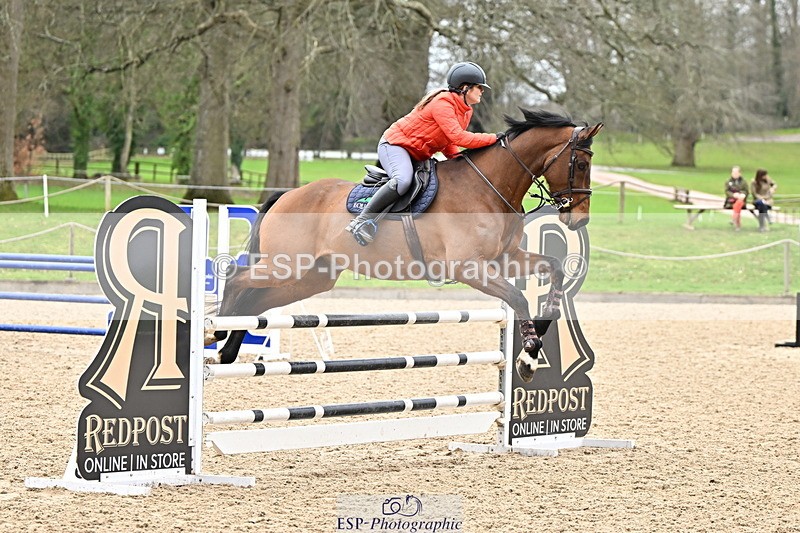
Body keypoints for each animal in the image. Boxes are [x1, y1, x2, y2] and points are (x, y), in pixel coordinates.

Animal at [208, 108, 603, 382]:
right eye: (582, 163)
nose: (579, 220)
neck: (490, 188)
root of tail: (287, 195)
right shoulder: (469, 268)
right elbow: (518, 297)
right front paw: (528, 357)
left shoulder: (507, 258)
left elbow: (553, 269)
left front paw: (539, 337)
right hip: (287, 264)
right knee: (238, 278)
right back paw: (216, 332)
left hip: (310, 276)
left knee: (255, 300)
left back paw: (226, 353)